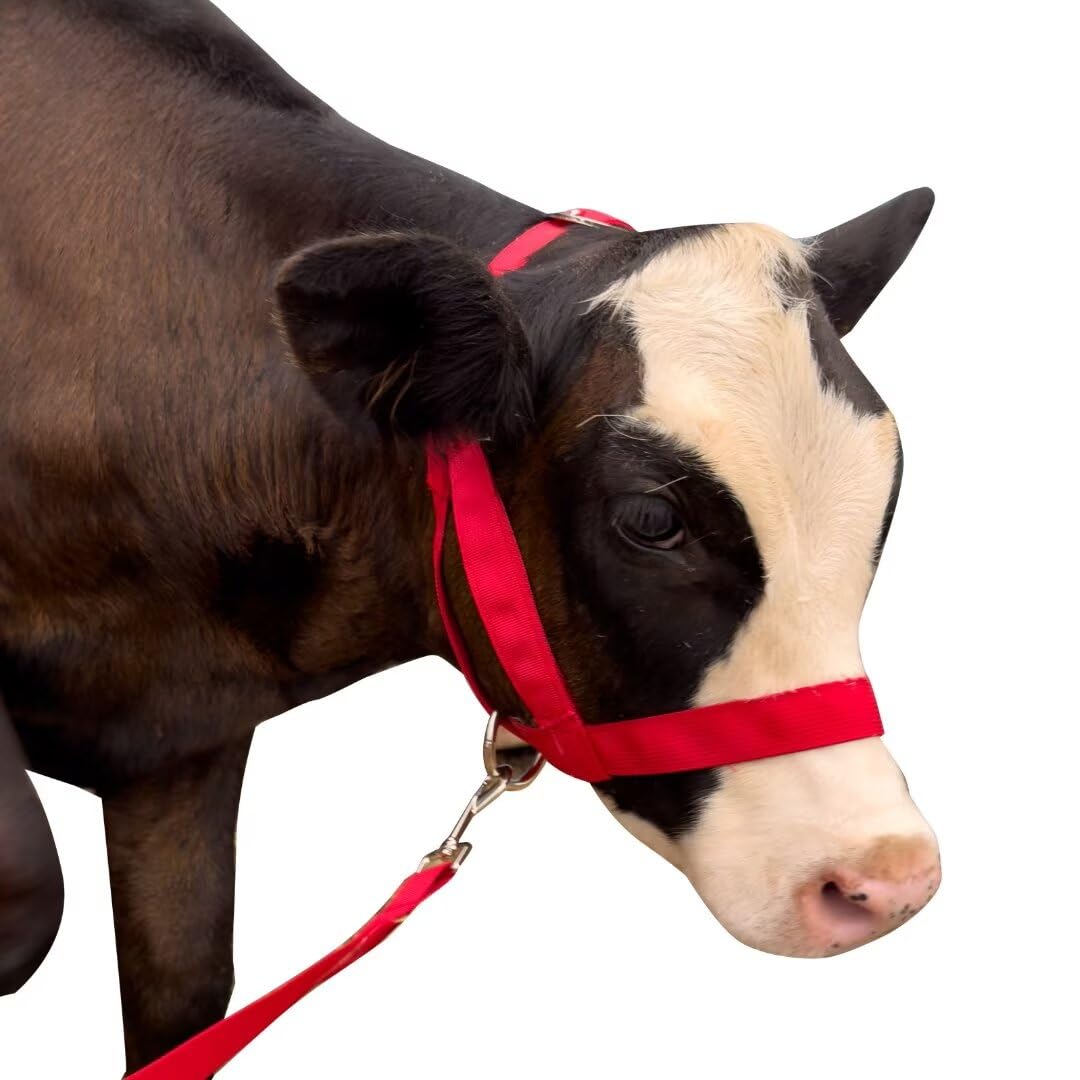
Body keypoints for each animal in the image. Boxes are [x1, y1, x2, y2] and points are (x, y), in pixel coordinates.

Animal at [0, 0, 941, 1072]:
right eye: (650, 520)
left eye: (889, 493)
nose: (883, 877)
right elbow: (30, 894)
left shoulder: (177, 749)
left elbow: (187, 1005)